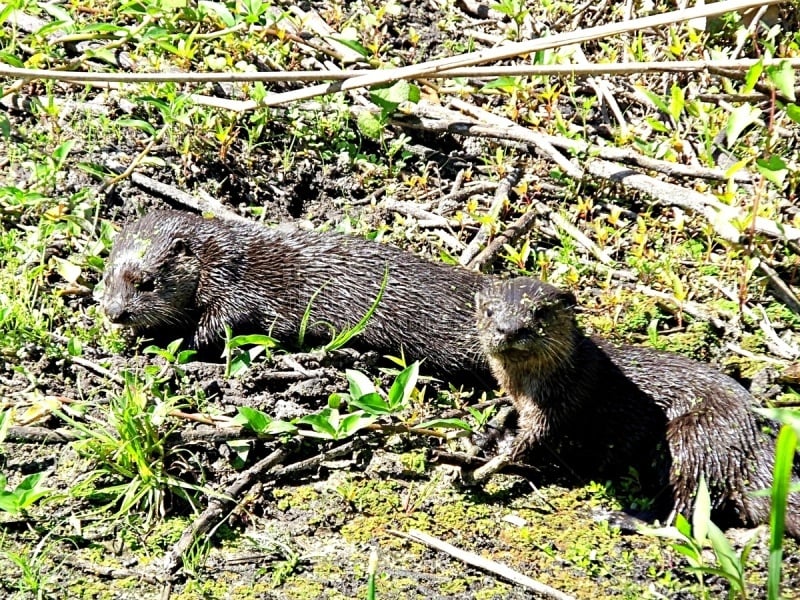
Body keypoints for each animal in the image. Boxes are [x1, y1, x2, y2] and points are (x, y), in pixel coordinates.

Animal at [100, 209, 488, 382]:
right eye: (106, 278)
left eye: (146, 281)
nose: (115, 313)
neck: (227, 260)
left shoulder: (235, 290)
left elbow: (219, 325)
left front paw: (184, 343)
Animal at [478, 276, 796, 536]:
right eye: (489, 311)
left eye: (540, 311)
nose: (510, 329)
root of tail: (755, 438)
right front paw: (493, 434)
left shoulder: (561, 403)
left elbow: (535, 441)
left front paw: (496, 457)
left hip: (696, 437)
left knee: (685, 511)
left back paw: (618, 517)